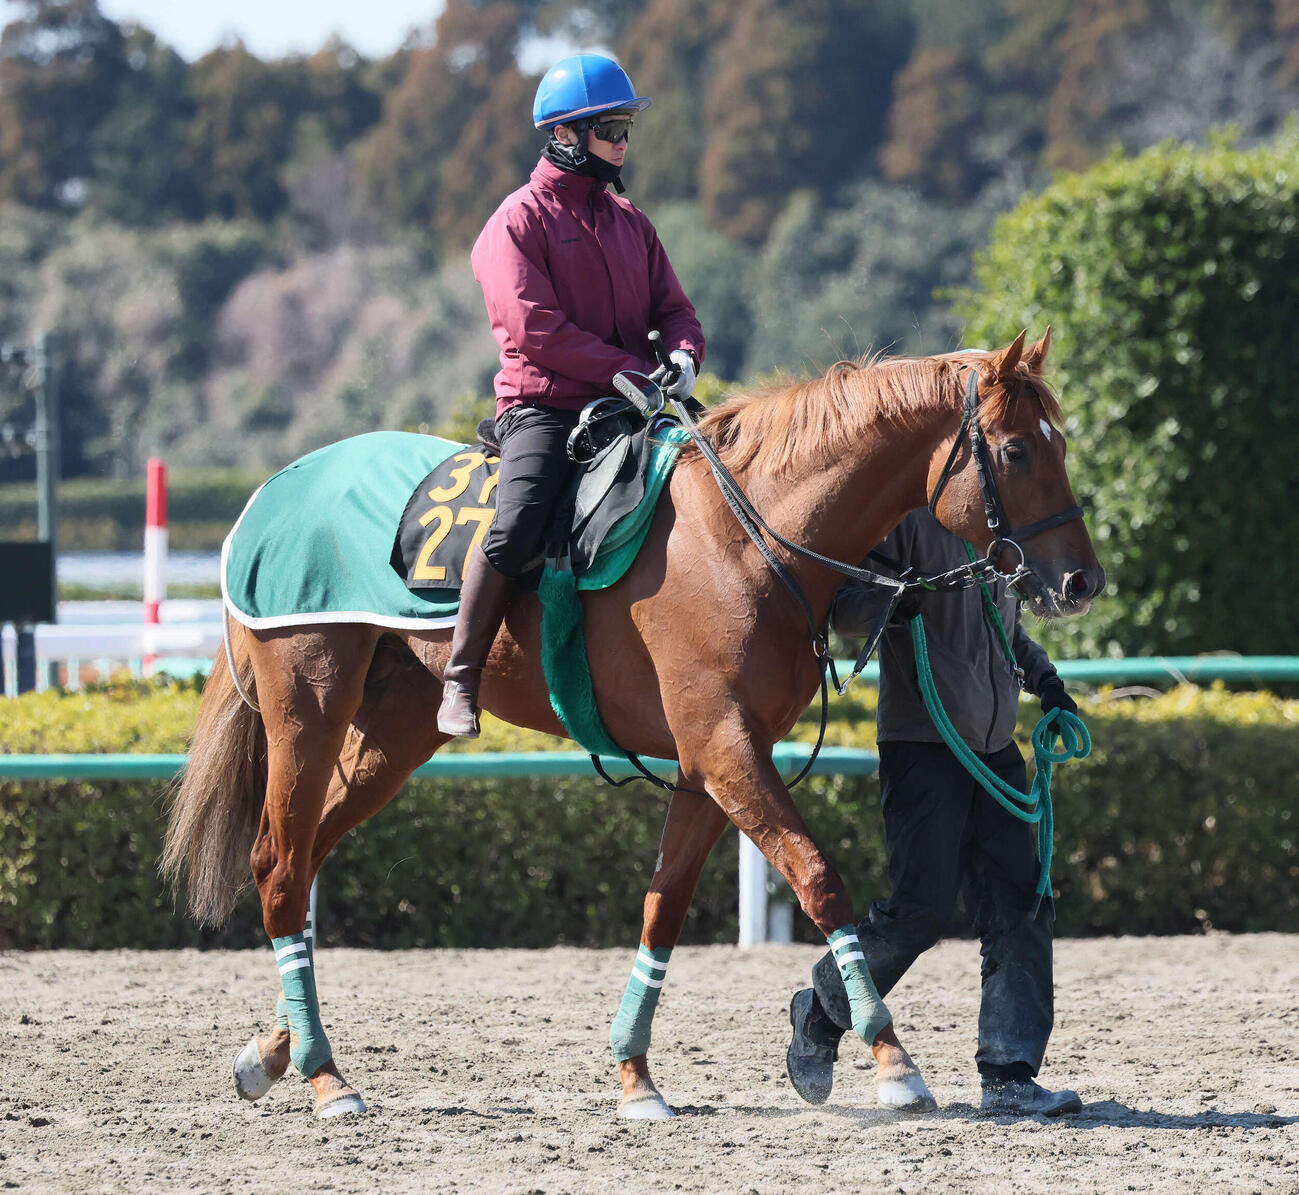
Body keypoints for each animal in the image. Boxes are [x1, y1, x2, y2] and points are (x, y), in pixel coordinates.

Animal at [162, 329, 1103, 1120]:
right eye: (1016, 449)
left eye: (1059, 443)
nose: (1081, 582)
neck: (743, 536)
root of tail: (272, 491)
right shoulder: (727, 752)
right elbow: (819, 878)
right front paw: (890, 1055)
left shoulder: (707, 763)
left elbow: (662, 909)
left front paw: (635, 1073)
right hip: (310, 710)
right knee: (281, 863)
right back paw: (325, 1073)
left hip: (394, 732)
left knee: (302, 857)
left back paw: (275, 1048)